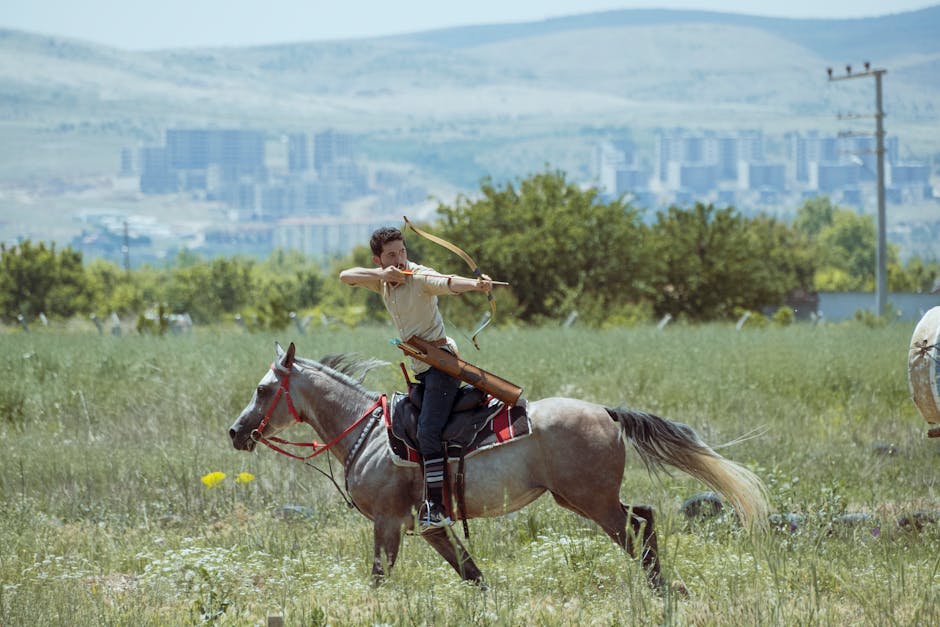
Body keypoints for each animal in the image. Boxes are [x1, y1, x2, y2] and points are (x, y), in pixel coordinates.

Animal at [228, 342, 770, 591]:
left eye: (262, 389)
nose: (236, 431)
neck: (369, 436)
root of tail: (606, 411)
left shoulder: (388, 522)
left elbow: (381, 575)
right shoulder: (431, 526)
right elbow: (471, 573)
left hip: (592, 500)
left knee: (637, 525)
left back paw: (661, 589)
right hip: (582, 499)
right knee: (644, 517)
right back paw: (664, 587)